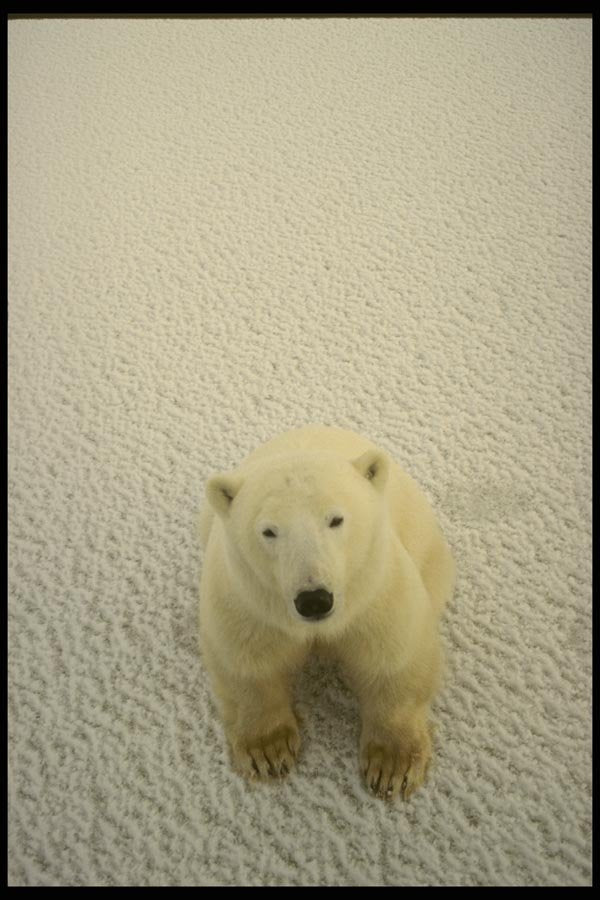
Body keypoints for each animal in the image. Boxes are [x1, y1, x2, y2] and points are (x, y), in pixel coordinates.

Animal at [198, 425, 455, 800]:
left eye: (336, 519)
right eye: (269, 531)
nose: (314, 600)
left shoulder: (373, 590)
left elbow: (393, 660)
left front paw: (392, 769)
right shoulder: (251, 603)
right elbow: (249, 666)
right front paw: (268, 754)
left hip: (426, 547)